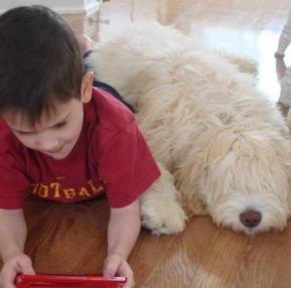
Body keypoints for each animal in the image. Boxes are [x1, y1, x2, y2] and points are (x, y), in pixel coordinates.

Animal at [85, 22, 291, 234]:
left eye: (269, 182)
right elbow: (153, 173)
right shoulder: (150, 135)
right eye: (228, 182)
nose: (251, 217)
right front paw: (164, 213)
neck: (227, 116)